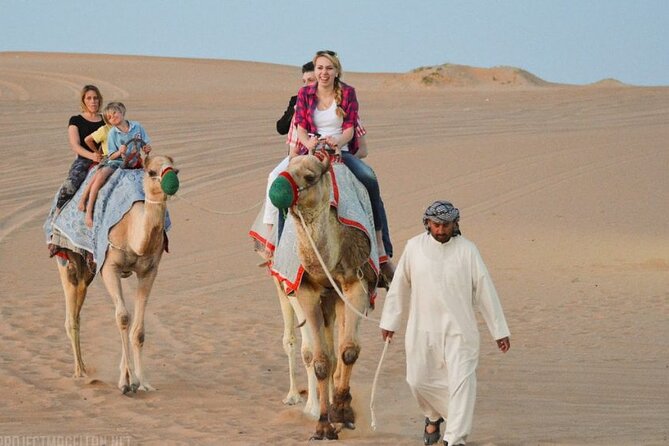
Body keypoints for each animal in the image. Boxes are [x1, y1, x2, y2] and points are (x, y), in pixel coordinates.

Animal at [55, 155, 179, 392]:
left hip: (88, 268)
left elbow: (138, 330)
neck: (133, 230)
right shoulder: (109, 267)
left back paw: (85, 368)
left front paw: (142, 381)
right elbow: (122, 317)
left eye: (176, 169)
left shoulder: (149, 270)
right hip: (66, 258)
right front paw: (125, 382)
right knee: (70, 315)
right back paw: (80, 372)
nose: (172, 183)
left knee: (79, 299)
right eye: (151, 172)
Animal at [268, 152, 378, 440]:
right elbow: (320, 360)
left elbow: (348, 351)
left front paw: (342, 413)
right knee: (308, 344)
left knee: (340, 347)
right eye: (287, 169)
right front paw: (322, 424)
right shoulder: (304, 290)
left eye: (309, 177)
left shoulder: (356, 283)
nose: (277, 191)